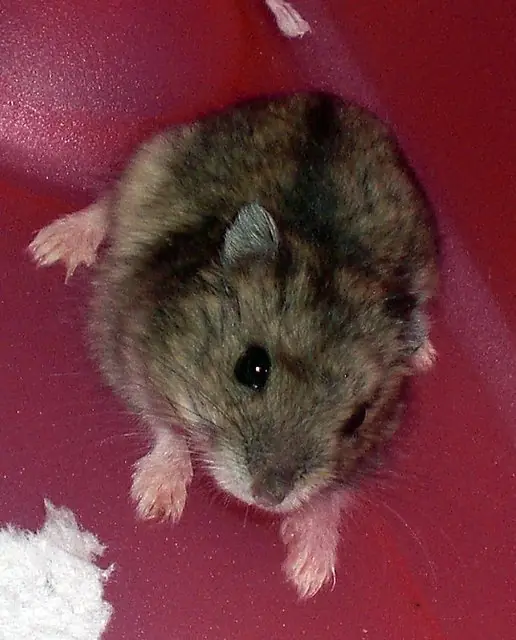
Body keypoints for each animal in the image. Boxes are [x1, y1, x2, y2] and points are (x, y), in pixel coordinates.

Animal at [29, 91, 439, 598]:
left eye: (358, 419)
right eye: (252, 368)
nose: (269, 497)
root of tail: (326, 98)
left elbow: (332, 497)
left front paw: (309, 577)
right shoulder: (127, 350)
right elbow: (166, 426)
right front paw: (156, 504)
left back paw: (425, 351)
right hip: (150, 160)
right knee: (107, 204)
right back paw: (51, 246)